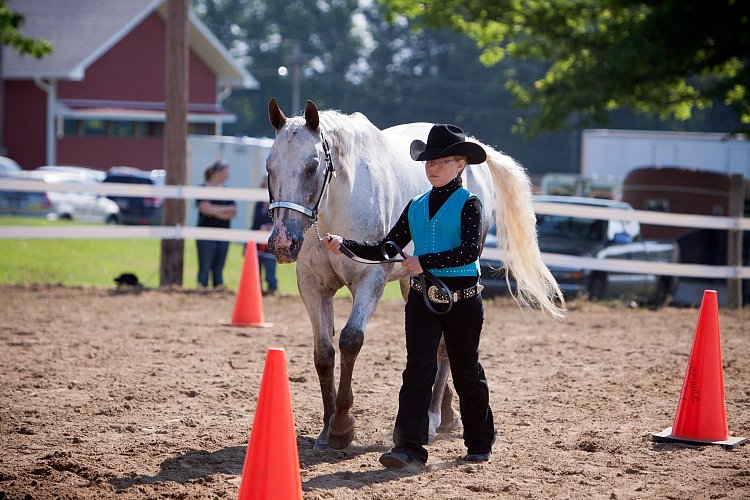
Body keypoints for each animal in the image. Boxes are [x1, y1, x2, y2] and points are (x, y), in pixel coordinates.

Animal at [266, 97, 564, 450]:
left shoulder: (371, 282)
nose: (283, 243)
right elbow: (324, 353)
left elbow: (351, 341)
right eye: (269, 167)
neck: (338, 206)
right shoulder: (312, 285)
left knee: (444, 346)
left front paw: (342, 426)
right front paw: (326, 430)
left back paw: (433, 418)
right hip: (416, 283)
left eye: (312, 167)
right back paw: (447, 414)